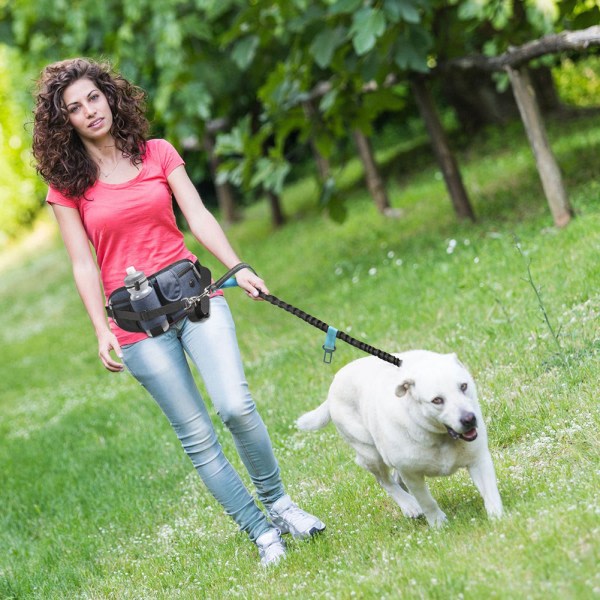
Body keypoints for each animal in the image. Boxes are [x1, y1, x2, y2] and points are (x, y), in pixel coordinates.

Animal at [298, 350, 502, 528]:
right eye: (437, 400)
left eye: (463, 386)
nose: (469, 419)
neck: (440, 437)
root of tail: (333, 385)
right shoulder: (411, 473)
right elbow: (426, 501)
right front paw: (438, 524)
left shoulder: (479, 459)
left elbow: (490, 492)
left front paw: (498, 519)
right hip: (370, 453)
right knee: (386, 481)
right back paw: (409, 505)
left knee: (395, 478)